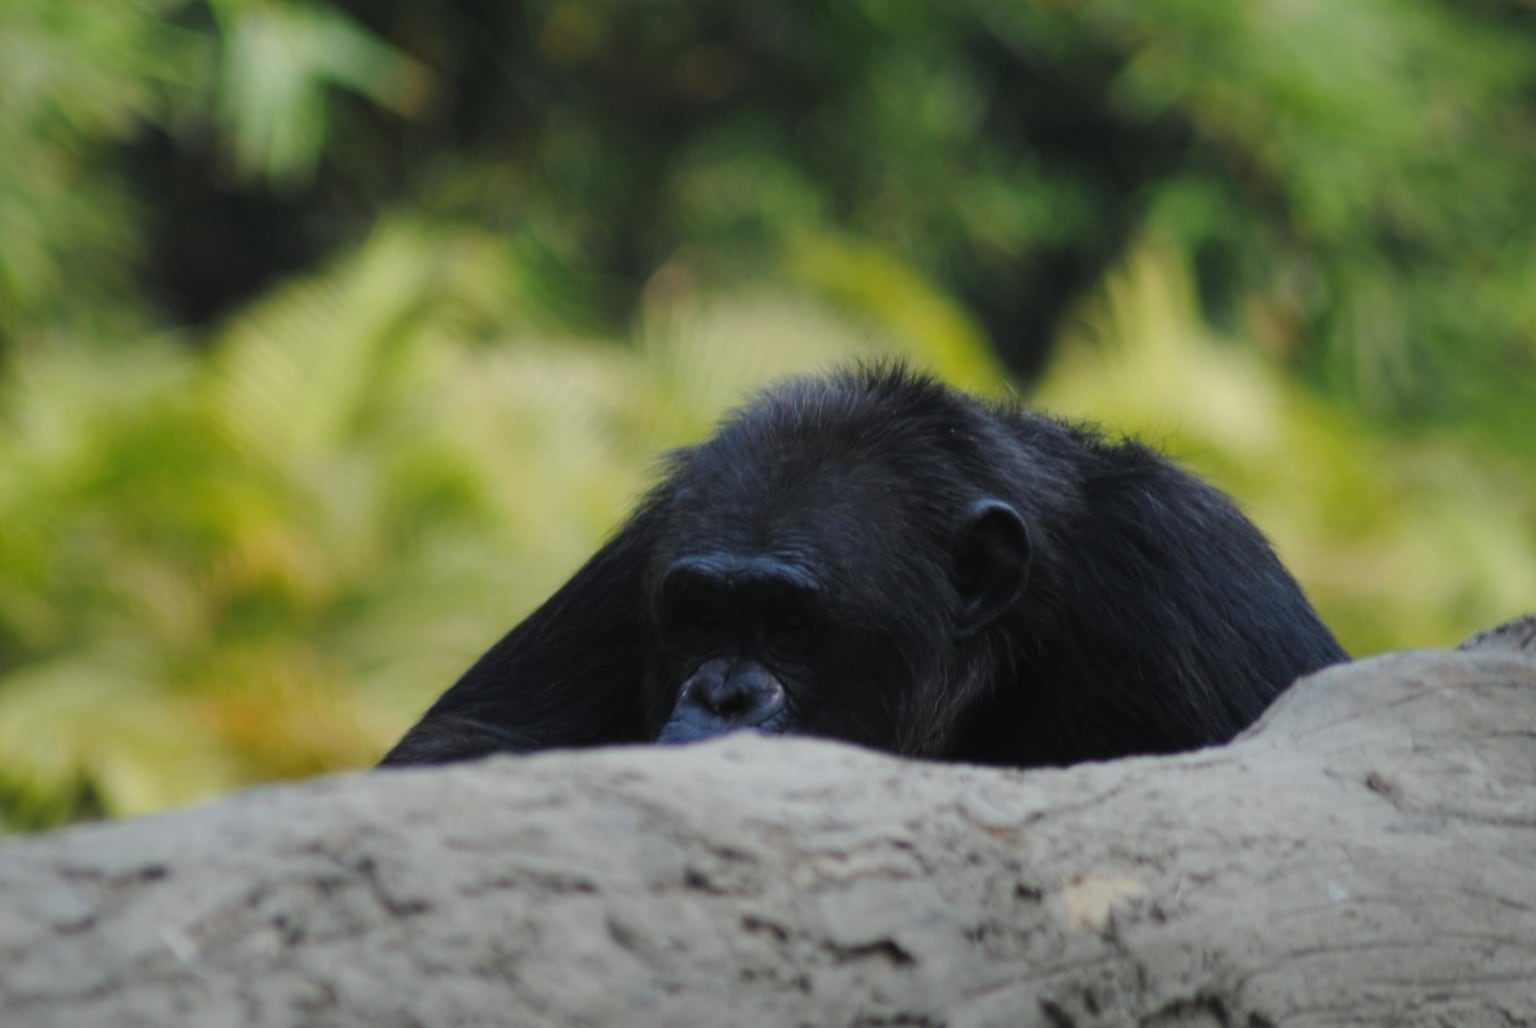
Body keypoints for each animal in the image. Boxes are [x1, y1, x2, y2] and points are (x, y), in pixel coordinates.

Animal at [380, 364, 1345, 765]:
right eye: (700, 616)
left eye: (790, 622)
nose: (723, 693)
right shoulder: (638, 559)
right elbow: (470, 737)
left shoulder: (1186, 565)